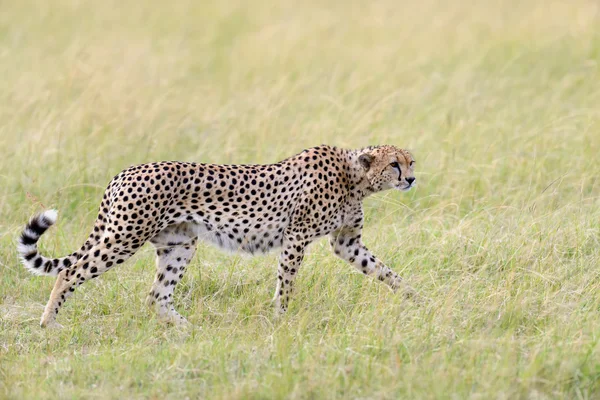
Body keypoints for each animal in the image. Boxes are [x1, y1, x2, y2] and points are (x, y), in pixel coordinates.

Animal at [17, 145, 418, 326]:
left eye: (411, 161)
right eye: (394, 164)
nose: (412, 179)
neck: (355, 177)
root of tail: (125, 172)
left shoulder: (347, 243)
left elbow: (386, 271)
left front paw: (416, 298)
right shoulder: (296, 237)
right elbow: (287, 283)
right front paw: (279, 317)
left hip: (179, 243)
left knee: (156, 296)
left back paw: (187, 330)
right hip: (125, 237)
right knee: (70, 272)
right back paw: (49, 323)